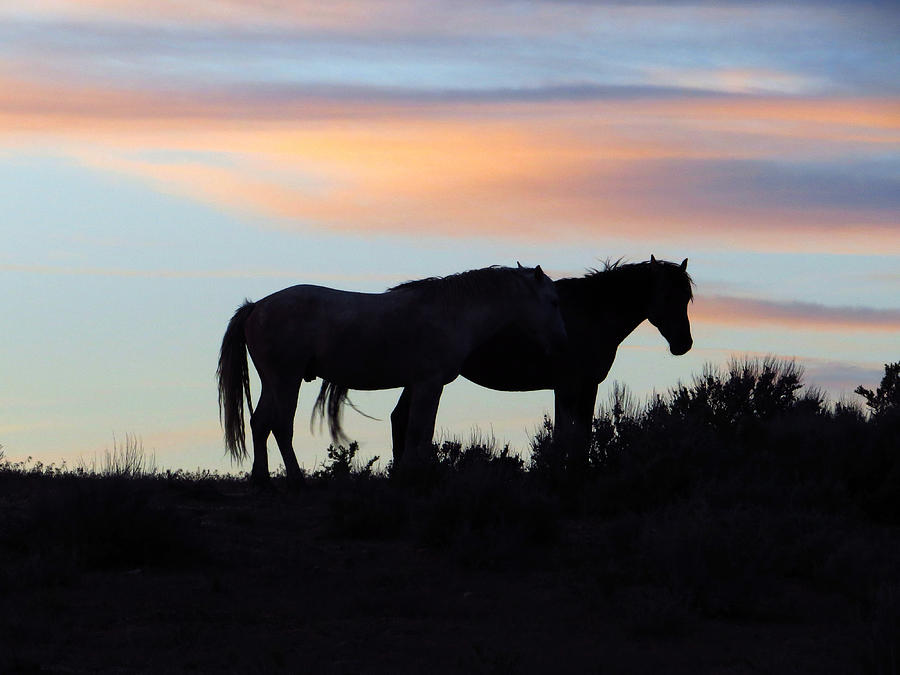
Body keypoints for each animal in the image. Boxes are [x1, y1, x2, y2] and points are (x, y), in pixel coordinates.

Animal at [218, 266, 568, 486]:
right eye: (553, 302)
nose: (562, 340)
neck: (451, 312)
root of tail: (256, 307)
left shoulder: (417, 385)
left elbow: (416, 430)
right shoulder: (429, 384)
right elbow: (417, 430)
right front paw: (414, 476)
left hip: (272, 381)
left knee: (260, 424)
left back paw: (262, 479)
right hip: (286, 380)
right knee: (280, 426)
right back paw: (296, 480)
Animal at [390, 258, 692, 476]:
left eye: (687, 298)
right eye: (667, 296)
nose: (684, 344)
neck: (591, 313)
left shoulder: (585, 385)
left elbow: (580, 436)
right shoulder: (569, 386)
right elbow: (566, 436)